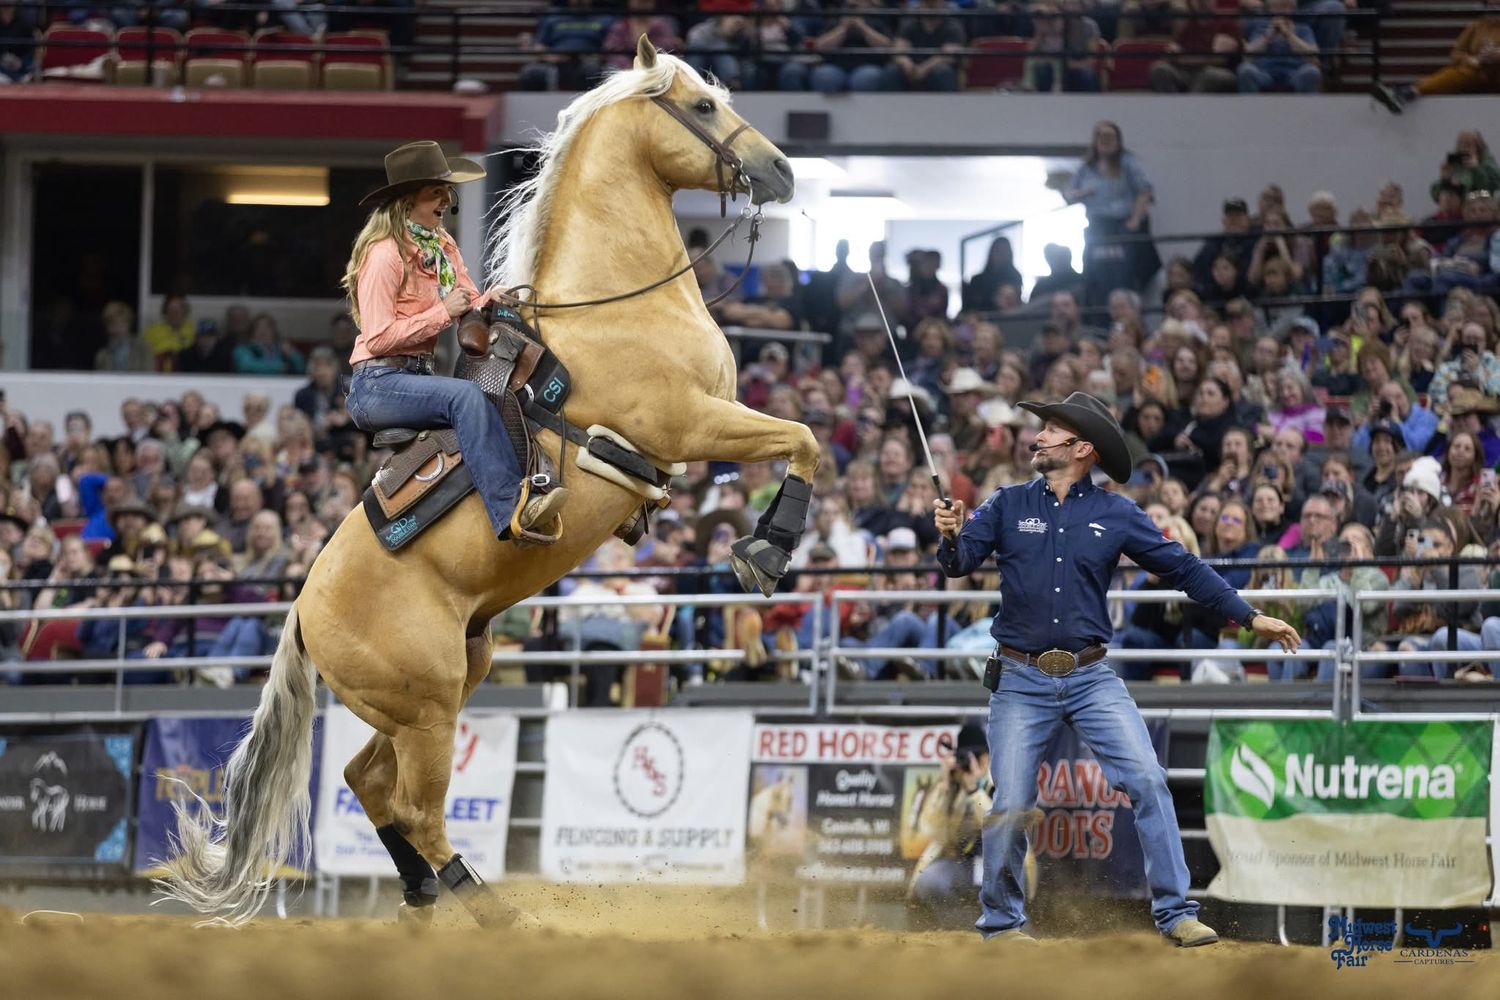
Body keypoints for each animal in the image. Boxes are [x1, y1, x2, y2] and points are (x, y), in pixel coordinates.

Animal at [157, 37, 818, 927]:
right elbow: (802, 439)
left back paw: (423, 899)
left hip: (444, 683)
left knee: (368, 782)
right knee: (416, 806)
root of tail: (301, 614)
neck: (611, 308)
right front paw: (767, 549)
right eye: (704, 106)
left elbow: (802, 435)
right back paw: (491, 911)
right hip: (430, 705)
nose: (779, 169)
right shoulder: (691, 422)